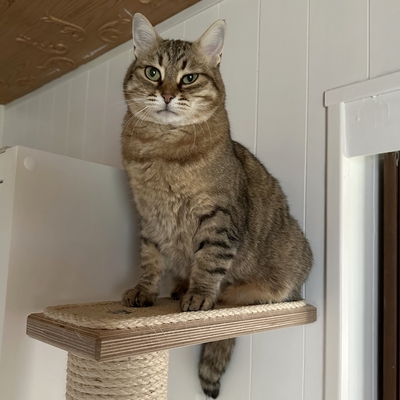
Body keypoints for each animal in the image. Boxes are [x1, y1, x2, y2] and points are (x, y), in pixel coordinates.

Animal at [121, 14, 312, 398]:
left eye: (189, 78)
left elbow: (209, 262)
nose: (167, 94)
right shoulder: (149, 219)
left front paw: (199, 296)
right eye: (152, 72)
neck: (161, 151)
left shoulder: (218, 218)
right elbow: (149, 261)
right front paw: (145, 292)